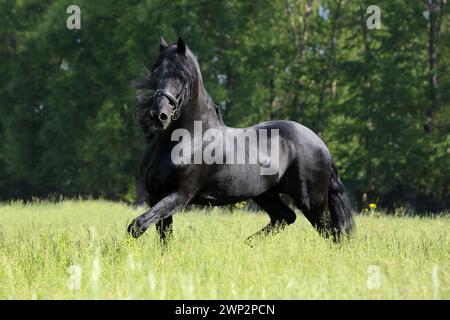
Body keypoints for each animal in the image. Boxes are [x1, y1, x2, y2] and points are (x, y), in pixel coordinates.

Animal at [127, 37, 356, 242]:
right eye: (156, 72)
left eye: (181, 75)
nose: (159, 116)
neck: (187, 140)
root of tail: (320, 143)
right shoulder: (155, 195)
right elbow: (161, 236)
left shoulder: (179, 195)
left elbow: (137, 226)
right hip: (266, 194)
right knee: (286, 217)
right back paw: (248, 244)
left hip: (312, 202)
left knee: (332, 233)